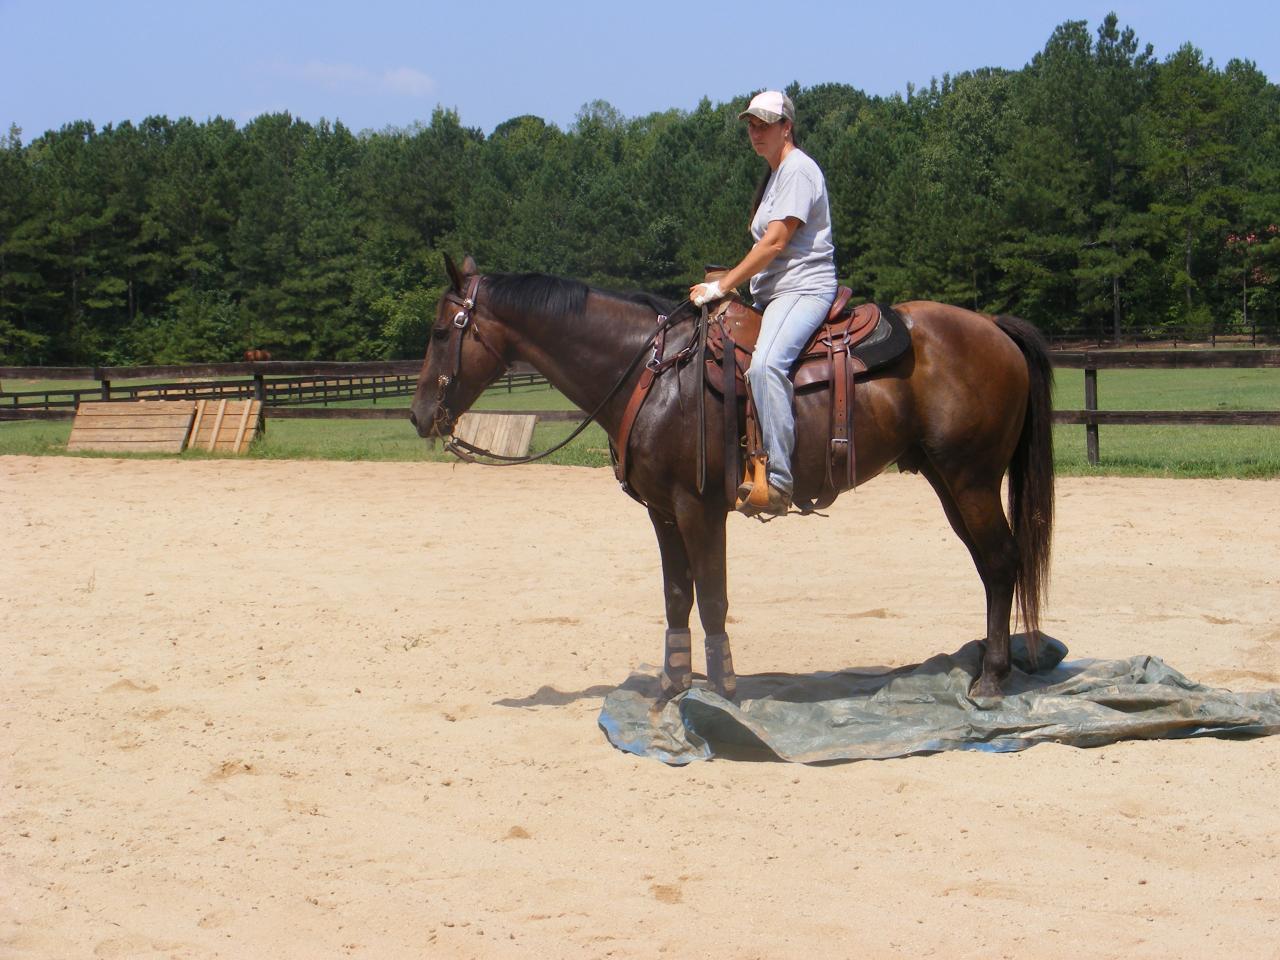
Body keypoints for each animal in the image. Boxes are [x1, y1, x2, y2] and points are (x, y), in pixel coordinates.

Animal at [410, 255, 1054, 701]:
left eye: (441, 332)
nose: (419, 415)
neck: (652, 372)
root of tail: (993, 327)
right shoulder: (662, 513)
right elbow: (677, 596)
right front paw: (673, 687)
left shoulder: (699, 508)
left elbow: (713, 597)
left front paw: (722, 690)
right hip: (949, 482)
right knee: (990, 566)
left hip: (971, 479)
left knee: (1002, 562)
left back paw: (992, 679)